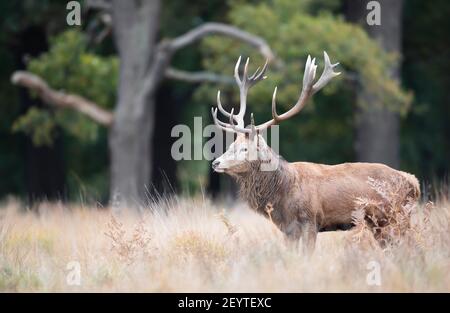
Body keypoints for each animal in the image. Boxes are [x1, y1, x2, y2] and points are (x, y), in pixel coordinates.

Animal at [209, 51, 420, 251]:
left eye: (244, 148)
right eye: (230, 146)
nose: (216, 162)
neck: (283, 192)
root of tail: (413, 182)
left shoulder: (310, 220)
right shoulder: (288, 229)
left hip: (397, 216)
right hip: (378, 224)